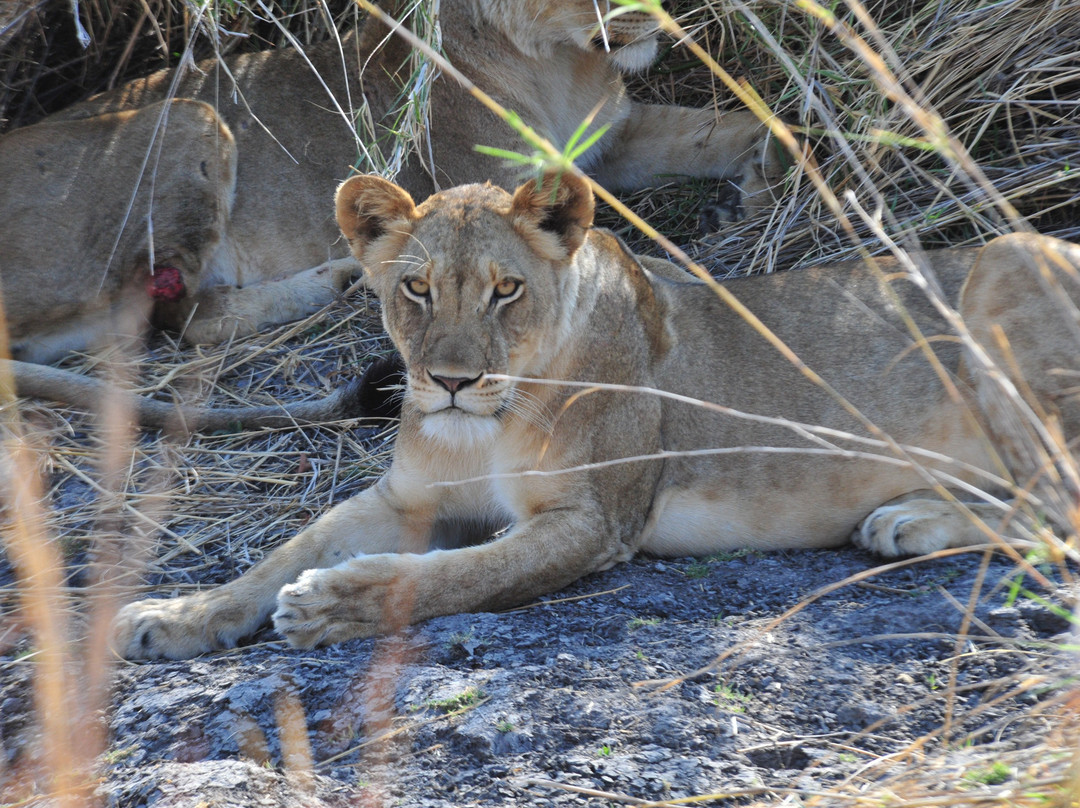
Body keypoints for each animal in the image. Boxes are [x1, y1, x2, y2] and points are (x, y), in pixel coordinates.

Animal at [0, 1, 781, 423]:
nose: (663, 12)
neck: (560, 64)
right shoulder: (488, 204)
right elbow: (612, 253)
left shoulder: (612, 144)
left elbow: (731, 127)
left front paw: (757, 189)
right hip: (189, 115)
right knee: (186, 314)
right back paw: (338, 278)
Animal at [111, 168, 1080, 656]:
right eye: (415, 289)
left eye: (505, 290)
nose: (450, 380)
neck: (489, 420)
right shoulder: (404, 498)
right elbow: (285, 551)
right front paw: (175, 616)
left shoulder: (595, 521)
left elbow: (461, 575)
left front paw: (337, 603)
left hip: (1008, 266)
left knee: (1058, 507)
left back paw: (911, 519)